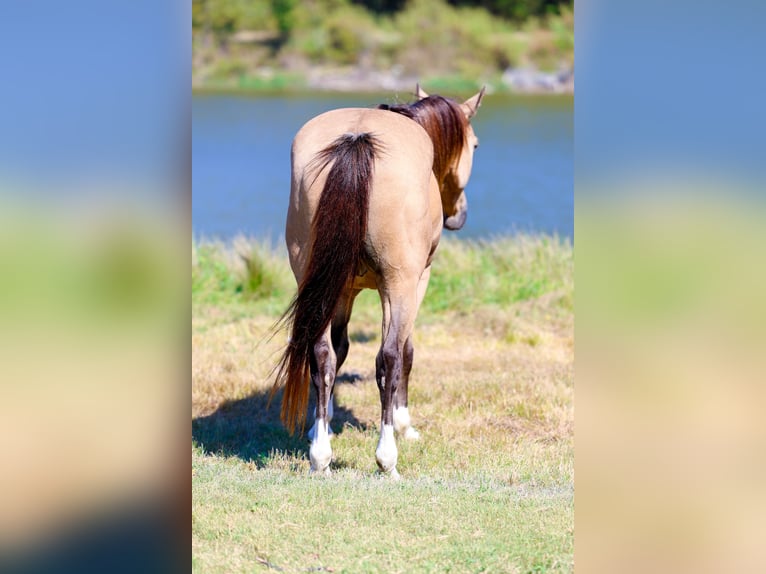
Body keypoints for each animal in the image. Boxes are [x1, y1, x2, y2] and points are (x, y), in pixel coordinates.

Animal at [273, 84, 484, 478]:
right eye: (475, 145)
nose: (458, 215)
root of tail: (357, 138)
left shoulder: (343, 290)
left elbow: (337, 352)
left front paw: (321, 424)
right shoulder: (416, 282)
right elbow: (404, 352)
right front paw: (403, 424)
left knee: (320, 353)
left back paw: (320, 456)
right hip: (399, 284)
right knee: (388, 358)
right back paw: (387, 457)